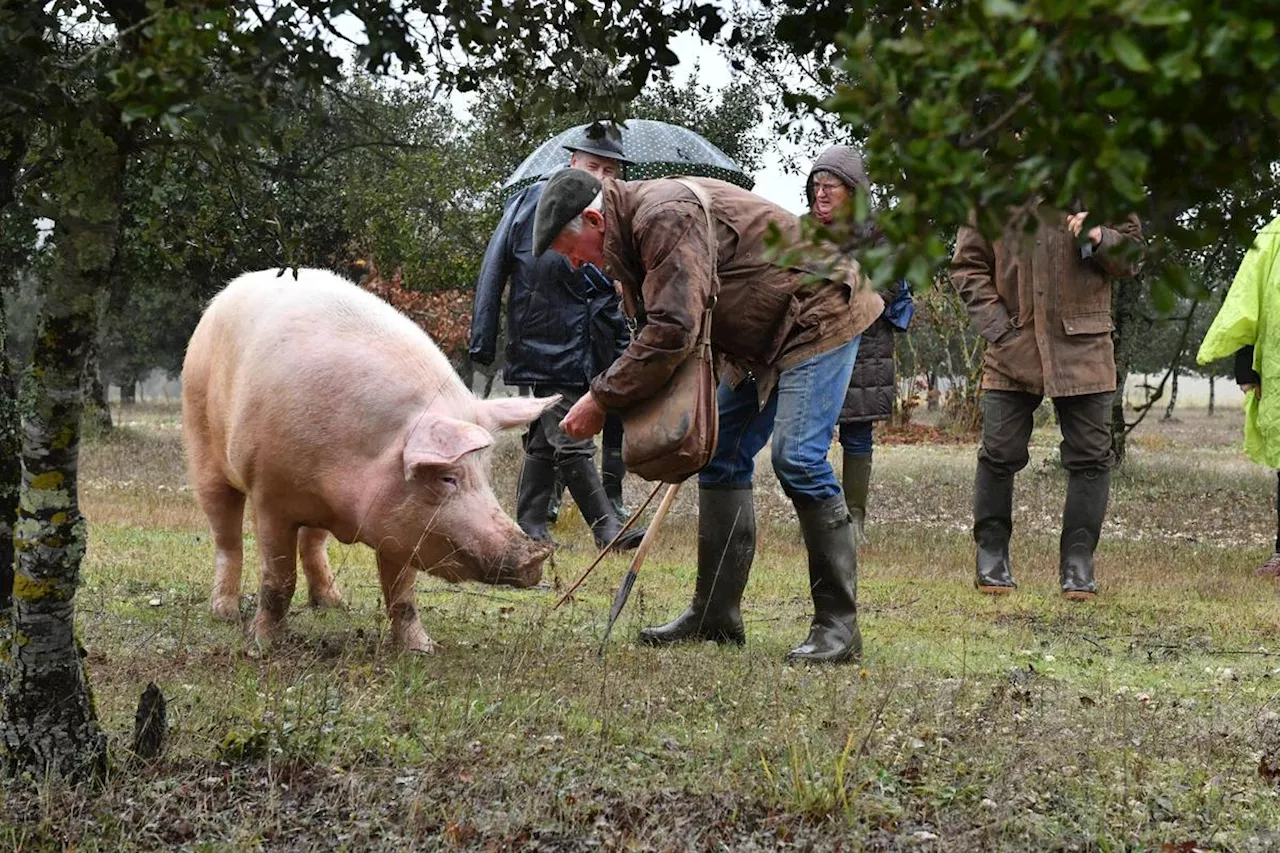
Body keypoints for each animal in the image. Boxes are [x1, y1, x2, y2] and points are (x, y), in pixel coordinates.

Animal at [181, 267, 555, 650]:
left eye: (485, 474)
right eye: (447, 477)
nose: (535, 556)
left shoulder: (400, 523)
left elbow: (401, 592)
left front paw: (422, 648)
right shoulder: (269, 495)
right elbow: (279, 578)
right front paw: (265, 644)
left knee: (312, 543)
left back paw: (334, 604)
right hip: (201, 438)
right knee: (227, 536)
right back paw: (225, 612)